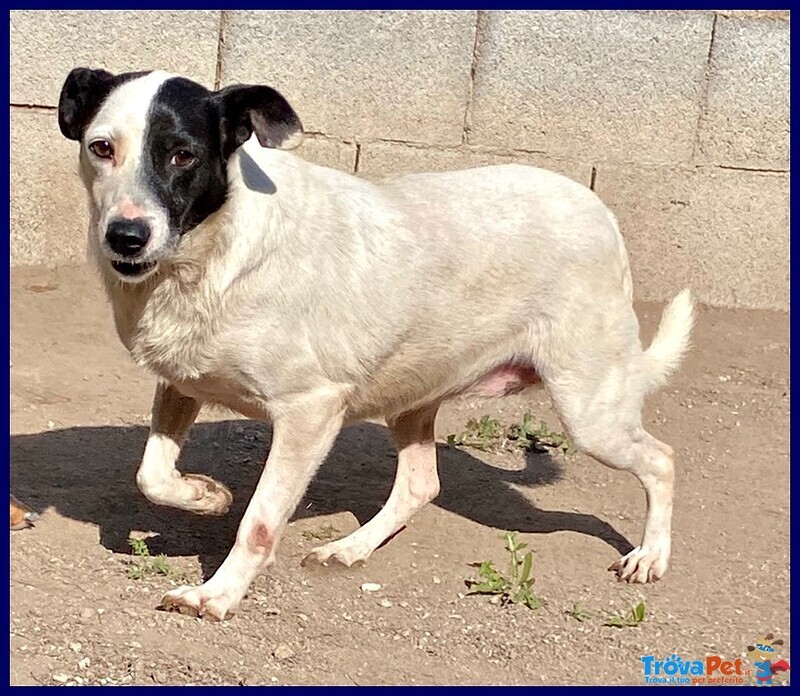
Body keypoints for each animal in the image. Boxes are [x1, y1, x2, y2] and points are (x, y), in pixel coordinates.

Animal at [57, 66, 692, 620]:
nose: (126, 237)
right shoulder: (180, 382)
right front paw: (206, 495)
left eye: (183, 155)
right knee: (421, 483)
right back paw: (350, 548)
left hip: (590, 410)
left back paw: (650, 557)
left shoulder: (311, 411)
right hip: (413, 393)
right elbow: (152, 475)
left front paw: (217, 594)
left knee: (661, 459)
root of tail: (600, 209)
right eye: (101, 147)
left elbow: (259, 520)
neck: (210, 255)